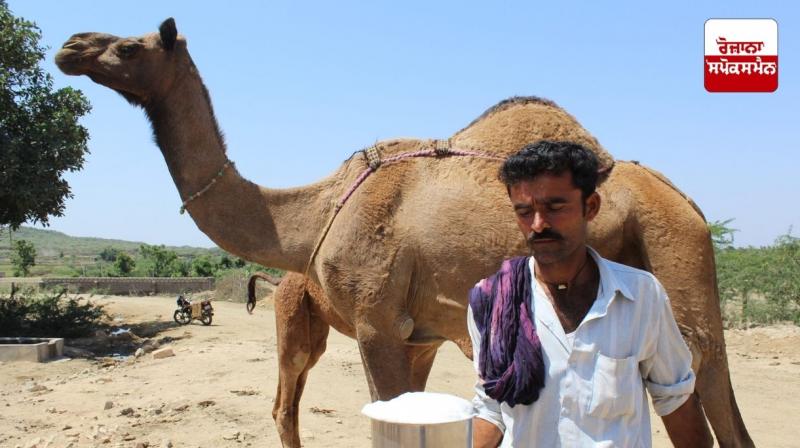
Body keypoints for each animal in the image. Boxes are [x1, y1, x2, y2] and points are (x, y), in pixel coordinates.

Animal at [55, 18, 753, 447]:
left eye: (129, 48)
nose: (71, 45)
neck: (311, 216)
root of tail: (688, 205)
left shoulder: (378, 323)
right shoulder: (420, 336)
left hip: (677, 267)